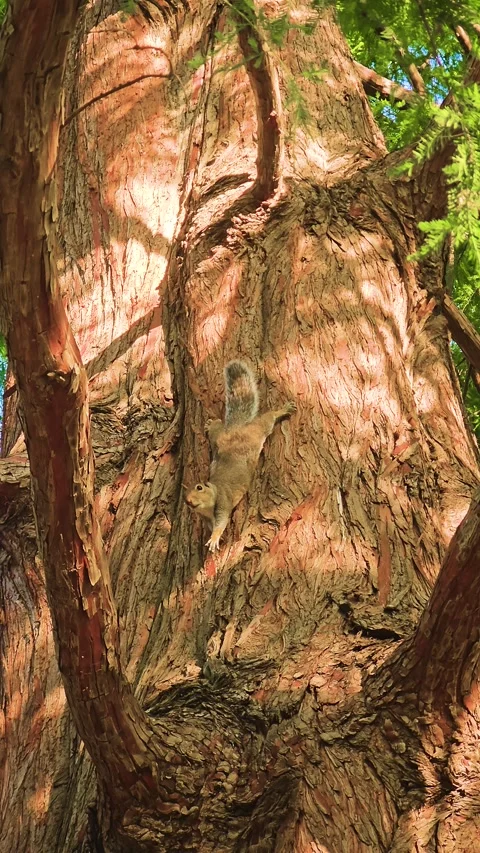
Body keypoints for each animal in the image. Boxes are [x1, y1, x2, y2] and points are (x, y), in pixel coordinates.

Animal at [185, 360, 296, 551]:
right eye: (185, 495)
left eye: (199, 488)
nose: (189, 501)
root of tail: (236, 430)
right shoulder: (206, 518)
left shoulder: (223, 502)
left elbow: (221, 522)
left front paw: (214, 538)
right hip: (218, 438)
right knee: (216, 429)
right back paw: (210, 424)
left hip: (257, 430)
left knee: (267, 419)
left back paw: (282, 410)